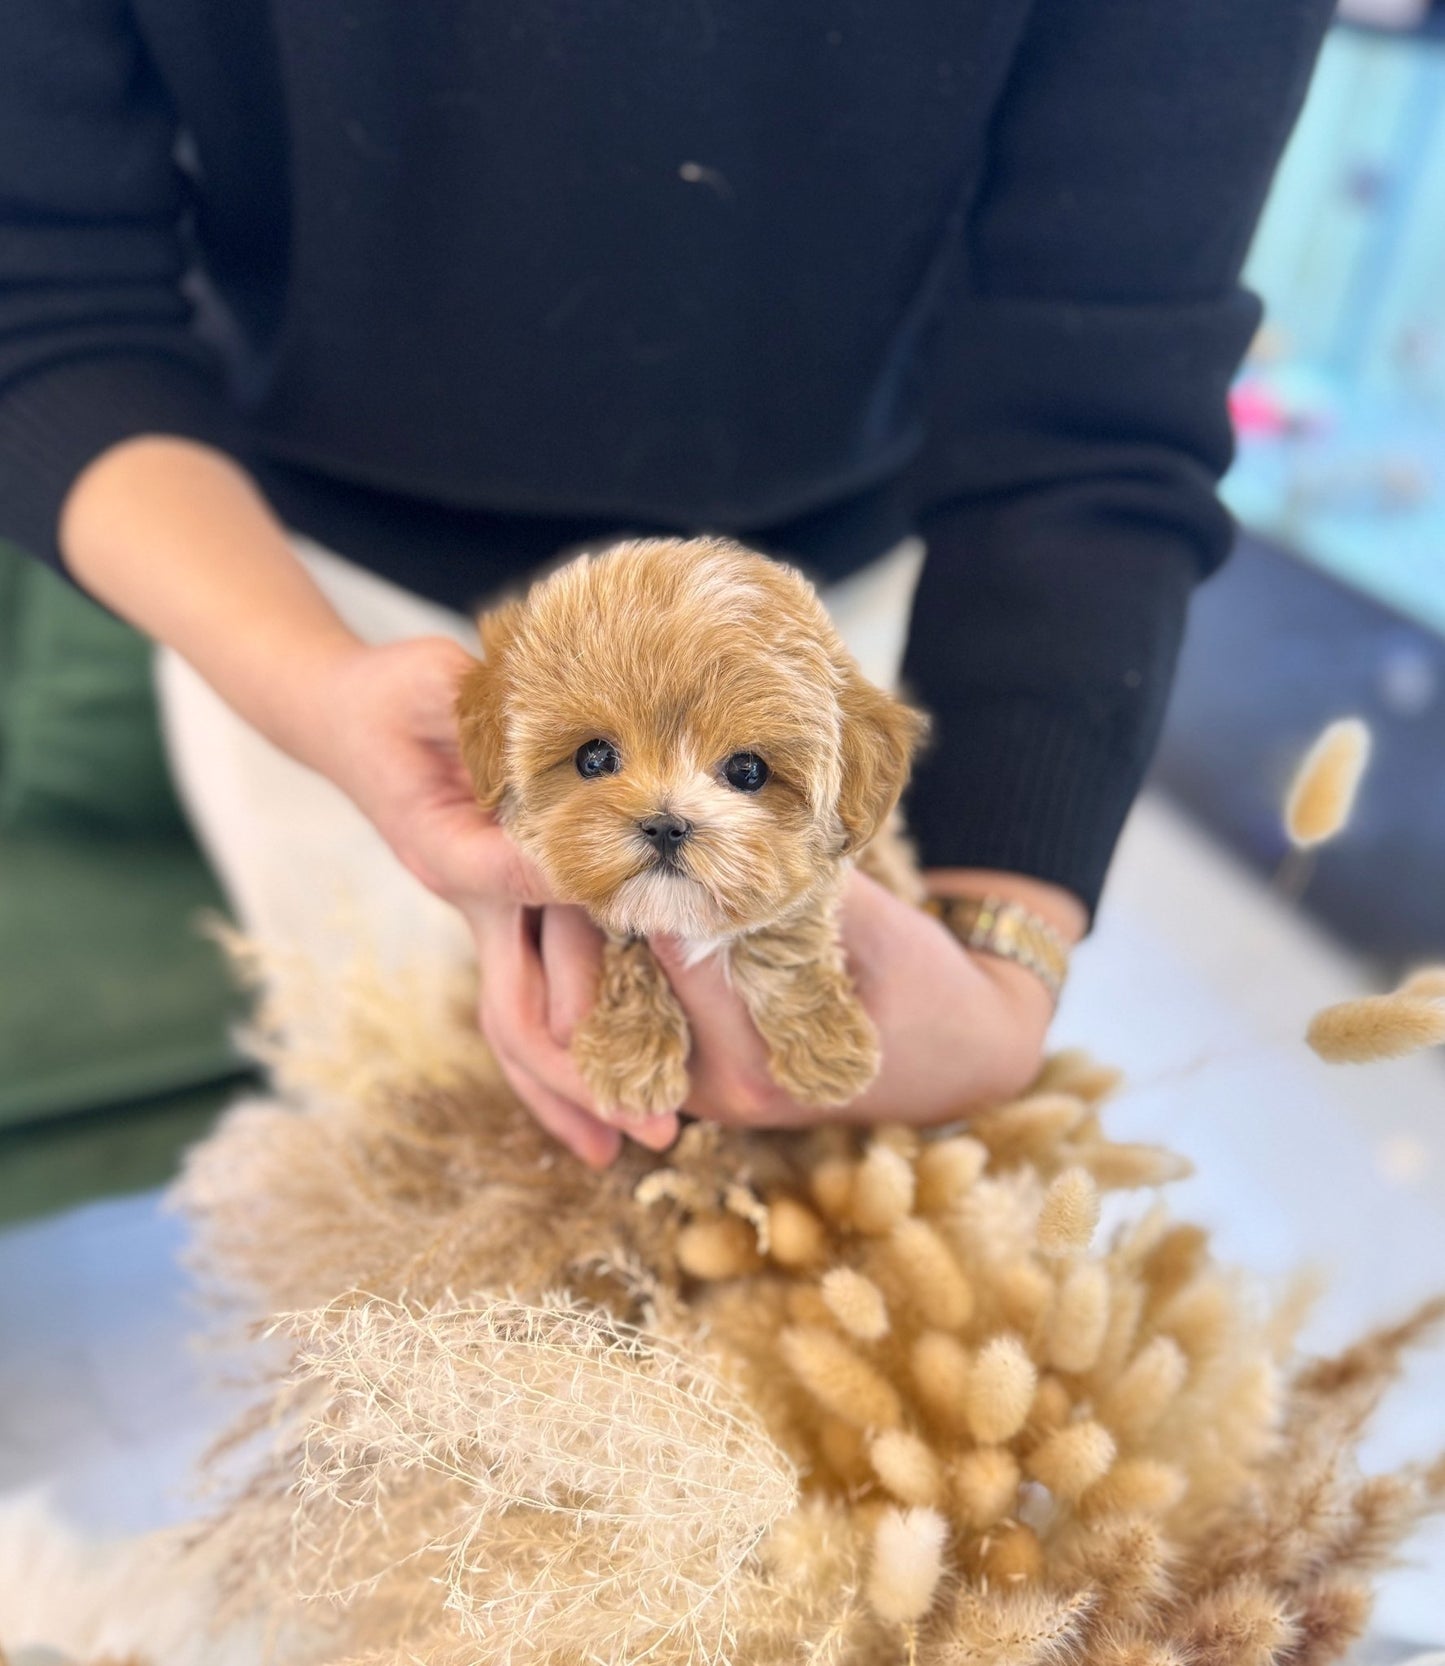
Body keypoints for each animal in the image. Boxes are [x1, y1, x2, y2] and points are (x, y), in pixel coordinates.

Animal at [456, 536, 926, 1119]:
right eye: (594, 757)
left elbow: (787, 929)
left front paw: (826, 1048)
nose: (665, 825)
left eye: (748, 771)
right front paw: (631, 1053)